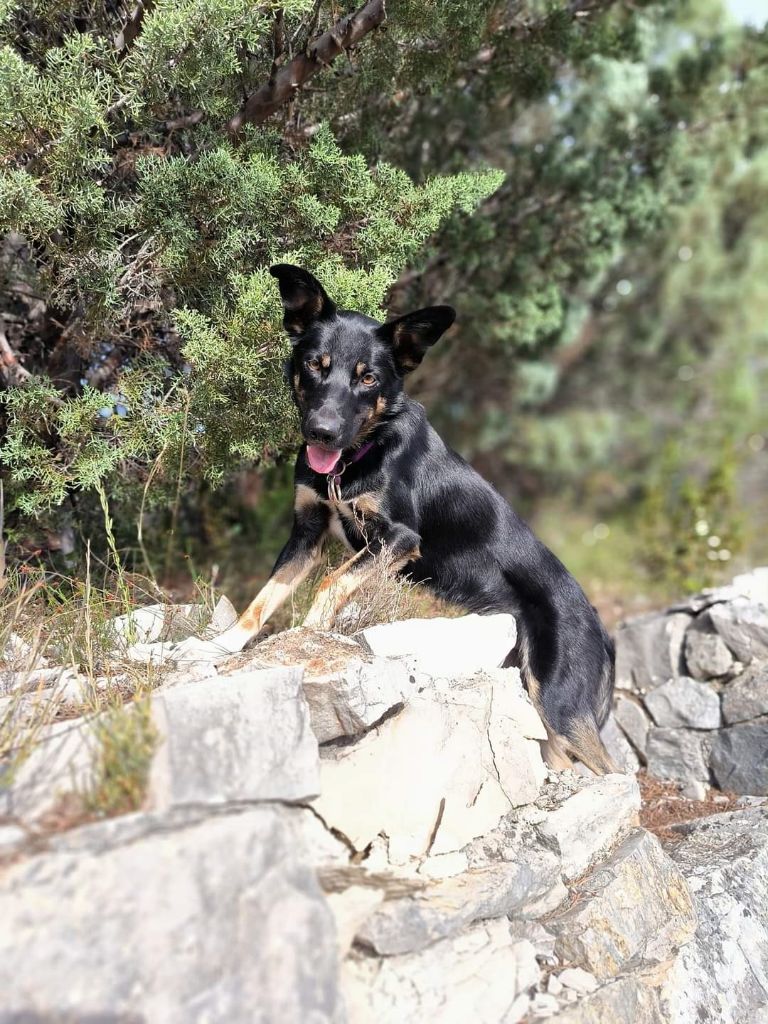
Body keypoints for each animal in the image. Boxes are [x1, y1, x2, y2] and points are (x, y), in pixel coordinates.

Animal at [147, 266, 618, 774]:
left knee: (614, 769)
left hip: (558, 700)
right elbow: (262, 600)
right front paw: (215, 646)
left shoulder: (398, 538)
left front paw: (307, 638)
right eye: (315, 364)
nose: (322, 433)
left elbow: (330, 583)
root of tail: (601, 627)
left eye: (368, 377)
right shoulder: (306, 533)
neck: (354, 459)